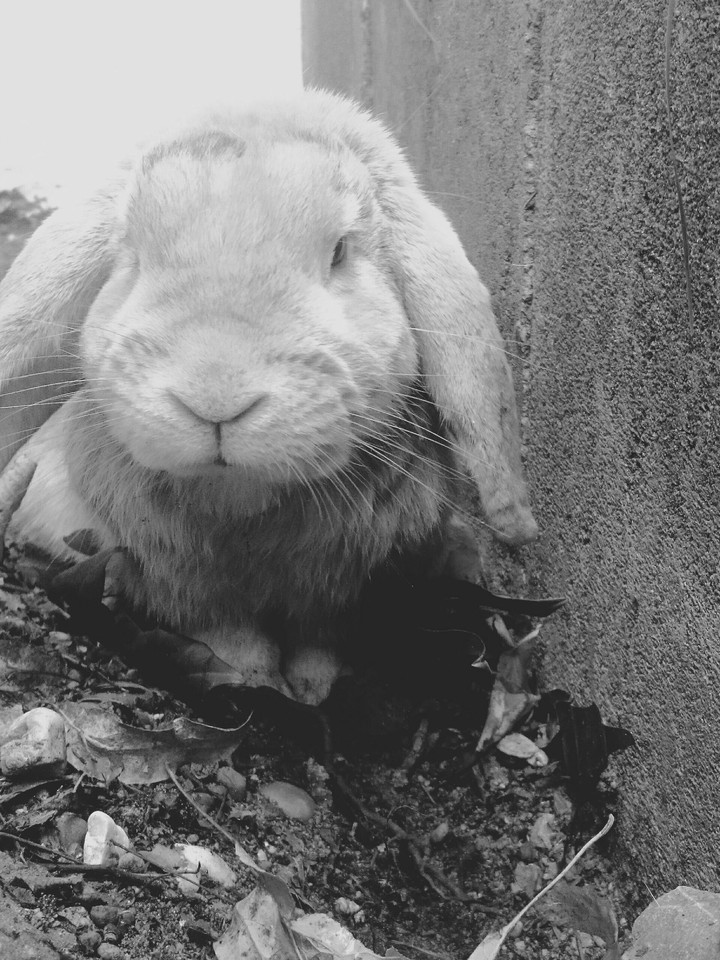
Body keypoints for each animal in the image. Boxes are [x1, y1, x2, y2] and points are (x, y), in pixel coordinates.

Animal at [0, 89, 537, 704]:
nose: (215, 398)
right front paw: (255, 682)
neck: (239, 504)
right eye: (132, 257)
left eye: (340, 251)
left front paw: (313, 690)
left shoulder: (337, 591)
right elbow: (229, 635)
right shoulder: (180, 584)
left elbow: (320, 641)